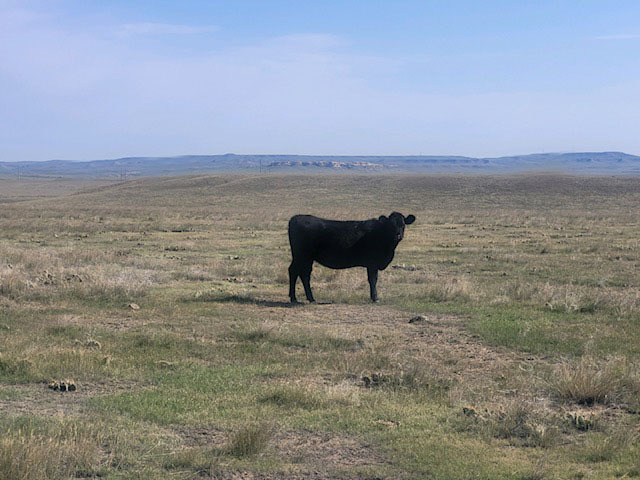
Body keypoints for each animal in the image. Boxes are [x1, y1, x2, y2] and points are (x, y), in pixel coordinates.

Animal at [288, 212, 418, 302]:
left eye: (403, 225)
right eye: (390, 225)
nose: (398, 235)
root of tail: (296, 217)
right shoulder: (372, 263)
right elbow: (373, 280)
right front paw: (375, 298)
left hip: (303, 257)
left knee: (299, 273)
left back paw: (302, 297)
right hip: (303, 256)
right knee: (299, 273)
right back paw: (301, 298)